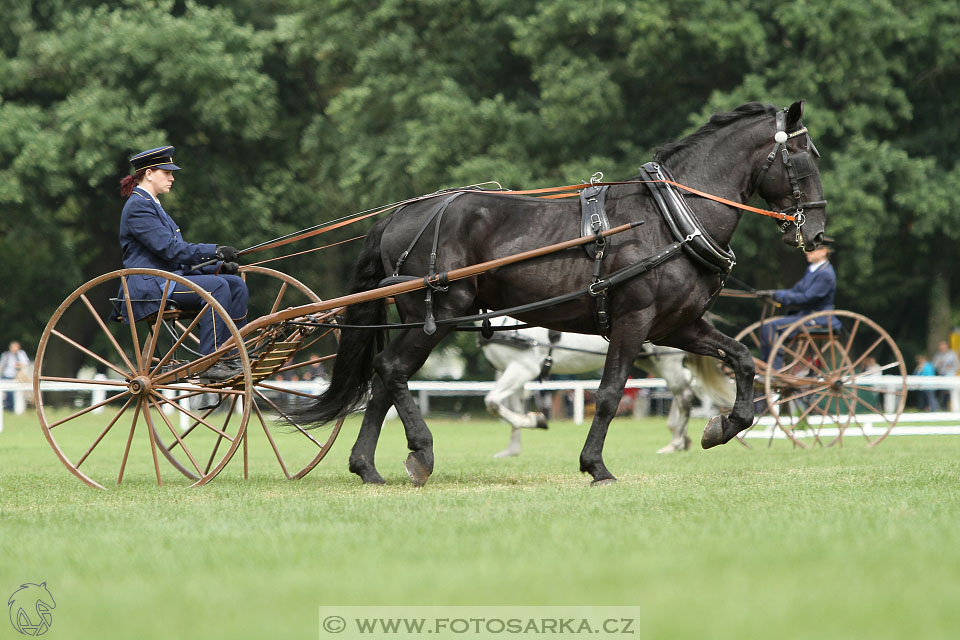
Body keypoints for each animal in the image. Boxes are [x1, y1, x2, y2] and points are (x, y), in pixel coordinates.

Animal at [480, 318, 736, 458]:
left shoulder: (523, 368)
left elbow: (492, 402)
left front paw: (536, 421)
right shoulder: (508, 370)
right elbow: (509, 409)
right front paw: (513, 449)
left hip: (666, 360)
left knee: (684, 393)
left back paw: (675, 443)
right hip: (650, 361)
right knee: (687, 386)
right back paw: (678, 436)